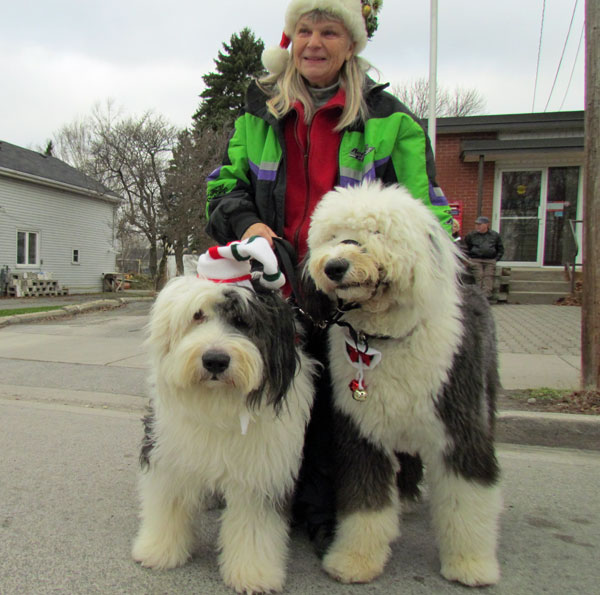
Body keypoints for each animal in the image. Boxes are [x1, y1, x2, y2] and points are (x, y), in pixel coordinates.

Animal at [133, 276, 316, 595]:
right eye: (197, 315)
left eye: (243, 321)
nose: (215, 360)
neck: (218, 403)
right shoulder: (168, 454)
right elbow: (166, 503)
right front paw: (158, 549)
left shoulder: (260, 475)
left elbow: (255, 526)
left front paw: (253, 573)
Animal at [302, 180, 504, 588]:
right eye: (333, 236)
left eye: (377, 232)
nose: (335, 265)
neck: (385, 339)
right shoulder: (362, 432)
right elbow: (365, 500)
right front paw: (354, 560)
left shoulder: (460, 430)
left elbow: (468, 498)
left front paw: (471, 565)